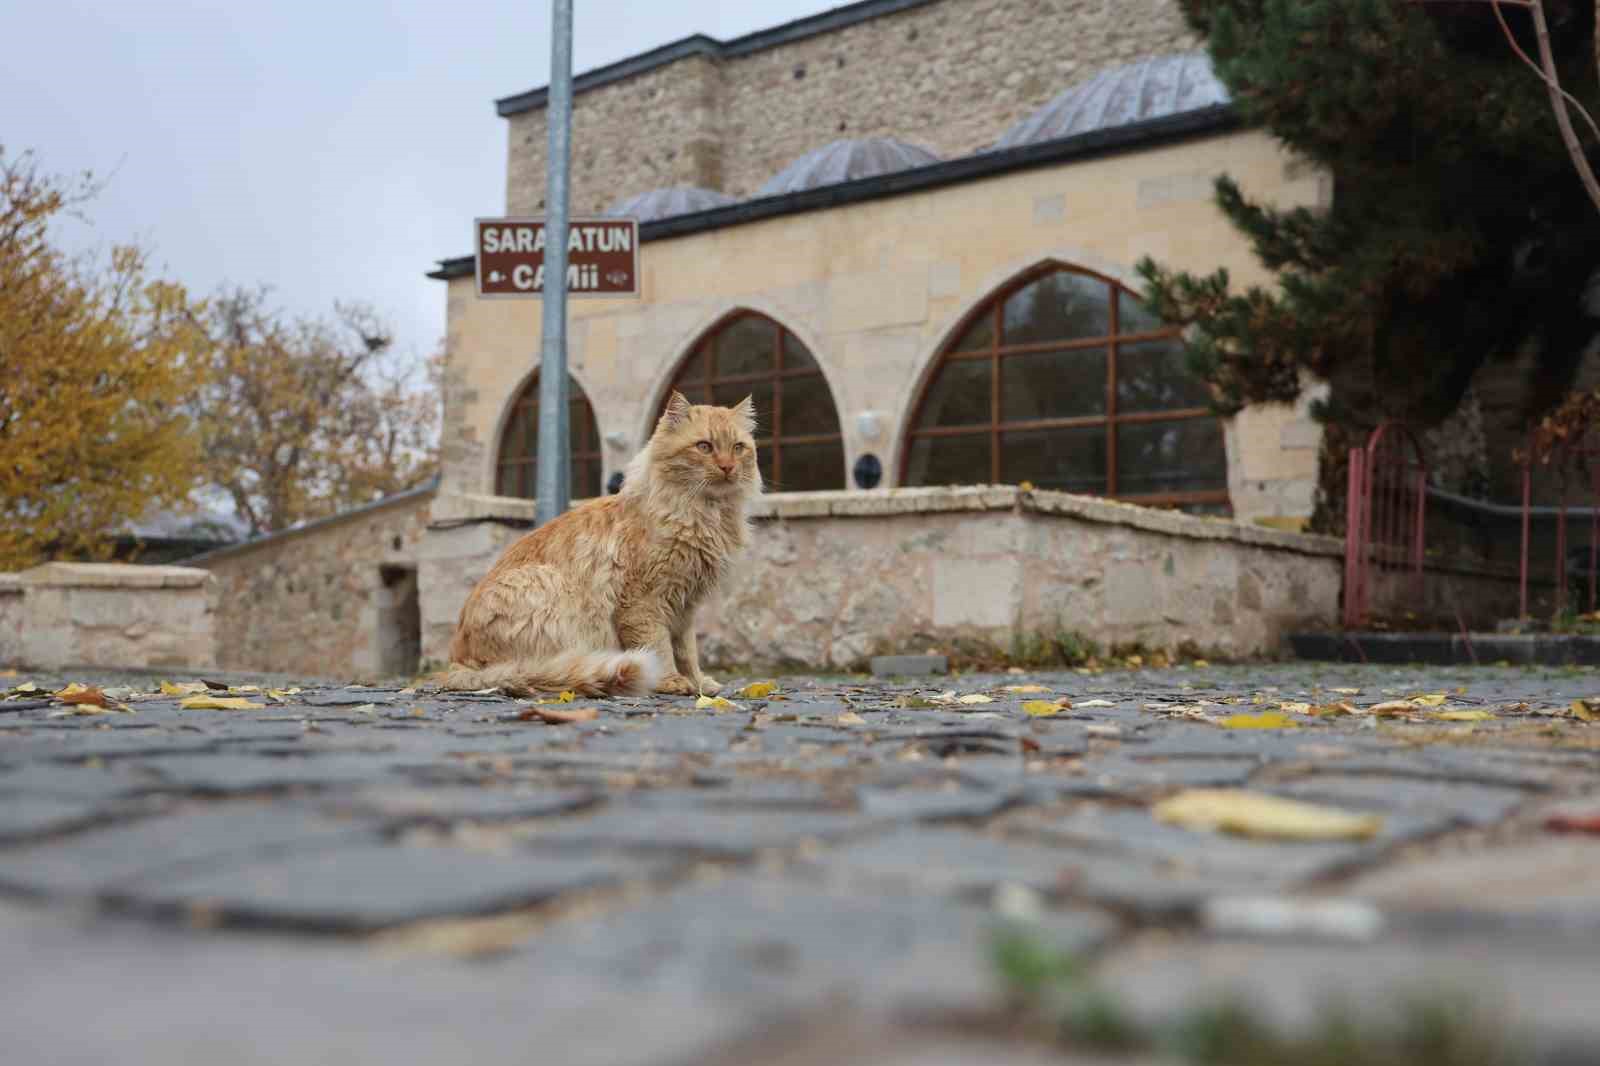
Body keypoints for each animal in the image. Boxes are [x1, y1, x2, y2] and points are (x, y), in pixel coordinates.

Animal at [438, 390, 761, 697]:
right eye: (704, 446)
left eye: (738, 447)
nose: (727, 467)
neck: (705, 515)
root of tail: (458, 662)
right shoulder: (644, 601)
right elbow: (659, 647)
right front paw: (671, 681)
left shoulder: (685, 606)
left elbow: (687, 652)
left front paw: (699, 684)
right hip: (547, 588)